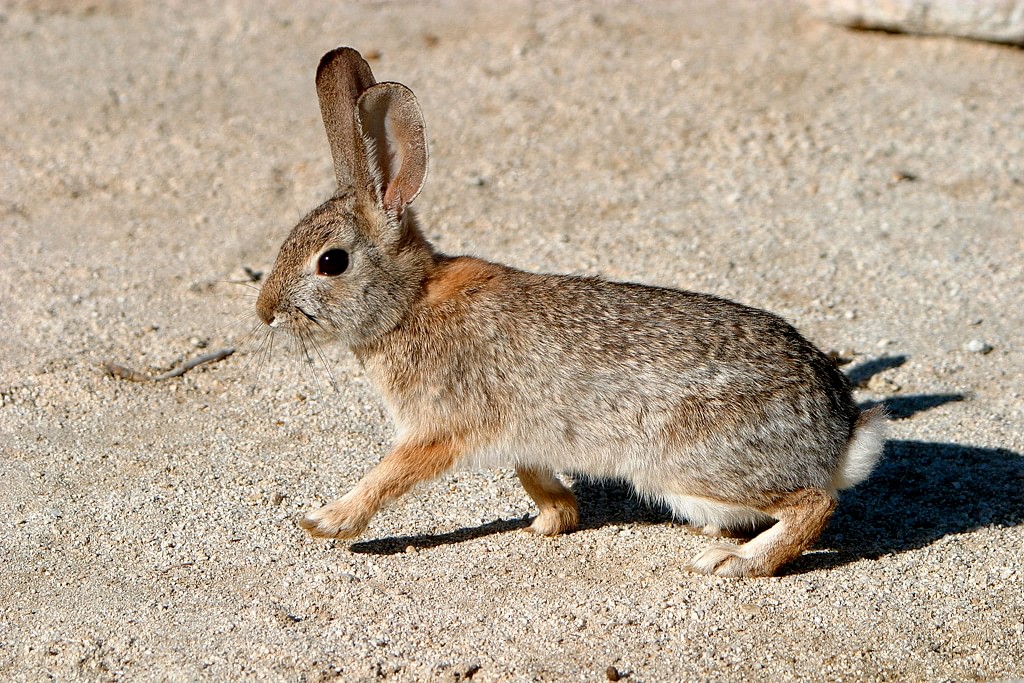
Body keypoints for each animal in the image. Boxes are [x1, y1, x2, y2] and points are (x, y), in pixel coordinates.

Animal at [258, 46, 888, 577]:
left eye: (331, 261)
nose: (265, 312)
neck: (407, 302)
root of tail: (840, 437)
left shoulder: (437, 430)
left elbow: (387, 476)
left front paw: (325, 522)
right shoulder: (522, 437)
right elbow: (533, 475)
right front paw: (550, 521)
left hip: (692, 465)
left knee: (813, 503)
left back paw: (737, 562)